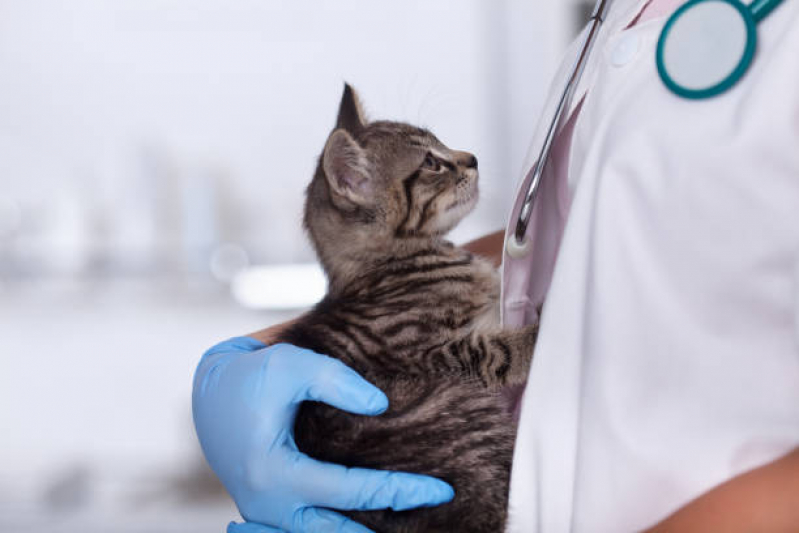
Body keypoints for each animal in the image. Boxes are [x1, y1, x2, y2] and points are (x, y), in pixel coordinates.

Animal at [278, 85, 540, 528]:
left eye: (441, 143)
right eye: (432, 163)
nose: (472, 158)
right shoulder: (429, 353)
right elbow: (494, 351)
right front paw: (538, 335)